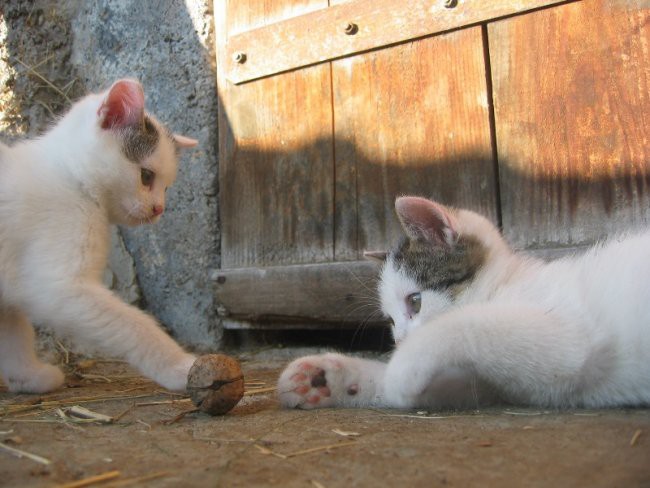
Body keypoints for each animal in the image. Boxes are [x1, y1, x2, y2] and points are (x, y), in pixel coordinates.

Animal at [0, 79, 197, 392]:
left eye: (166, 187)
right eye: (146, 176)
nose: (159, 209)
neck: (70, 177)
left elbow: (14, 334)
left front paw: (28, 377)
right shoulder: (59, 287)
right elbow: (135, 325)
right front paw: (180, 368)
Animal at [278, 196, 648, 410]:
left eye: (415, 301)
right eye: (392, 321)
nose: (401, 340)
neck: (502, 286)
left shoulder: (571, 339)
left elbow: (467, 324)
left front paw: (400, 369)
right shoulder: (505, 385)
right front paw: (328, 378)